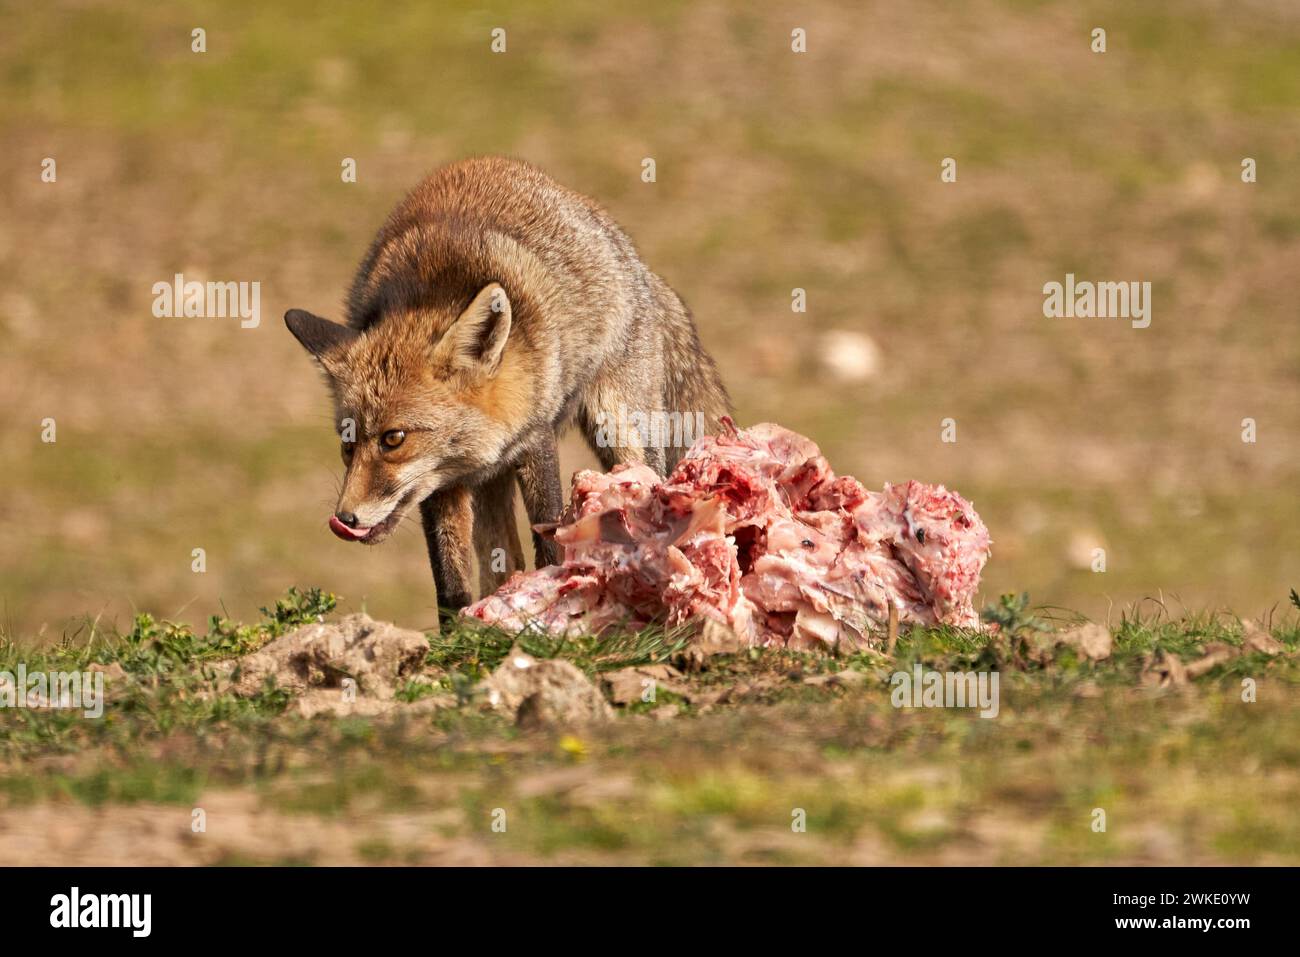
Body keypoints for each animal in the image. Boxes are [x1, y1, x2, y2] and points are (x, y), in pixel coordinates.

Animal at [286, 154, 733, 608]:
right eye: (347, 444)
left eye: (393, 439)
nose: (344, 517)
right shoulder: (444, 486)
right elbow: (451, 583)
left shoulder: (535, 441)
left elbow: (551, 538)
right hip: (492, 486)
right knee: (504, 560)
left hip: (620, 428)